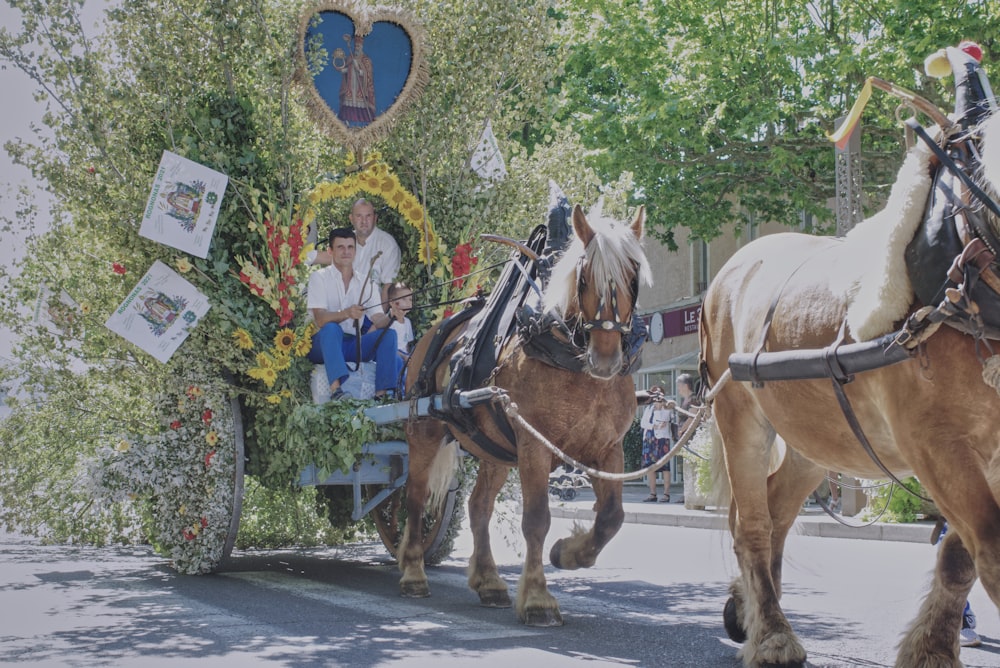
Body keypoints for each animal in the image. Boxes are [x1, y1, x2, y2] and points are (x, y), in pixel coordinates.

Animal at [394, 204, 652, 628]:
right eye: (584, 276)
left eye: (633, 276)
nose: (606, 357)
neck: (567, 356)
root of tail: (435, 330)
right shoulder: (534, 445)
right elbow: (536, 519)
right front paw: (537, 598)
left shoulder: (607, 449)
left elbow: (612, 516)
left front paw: (569, 552)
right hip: (425, 431)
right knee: (415, 498)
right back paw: (413, 572)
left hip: (495, 449)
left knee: (478, 506)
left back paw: (489, 580)